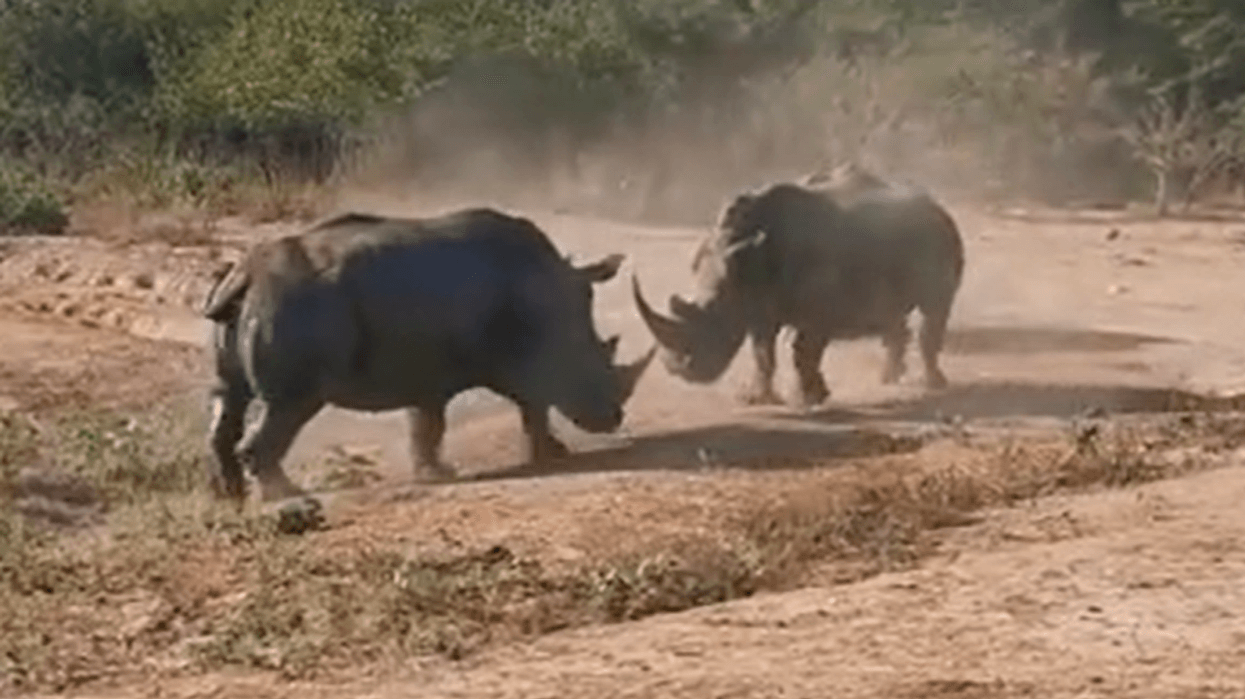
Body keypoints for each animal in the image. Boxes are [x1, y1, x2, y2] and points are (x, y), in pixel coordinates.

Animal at [203, 208, 654, 502]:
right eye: (592, 365)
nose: (612, 419)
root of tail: (247, 275)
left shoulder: (426, 366)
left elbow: (426, 422)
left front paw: (434, 473)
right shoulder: (519, 358)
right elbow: (532, 404)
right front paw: (553, 455)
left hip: (251, 307)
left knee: (229, 396)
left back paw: (231, 497)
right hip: (295, 305)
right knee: (288, 405)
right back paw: (285, 497)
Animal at [632, 165, 964, 407]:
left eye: (715, 319)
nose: (677, 370)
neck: (744, 257)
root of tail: (936, 204)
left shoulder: (819, 308)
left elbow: (805, 351)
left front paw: (809, 399)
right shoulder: (757, 305)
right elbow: (762, 353)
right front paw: (756, 398)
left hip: (941, 238)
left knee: (936, 307)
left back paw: (934, 385)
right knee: (892, 311)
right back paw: (889, 379)